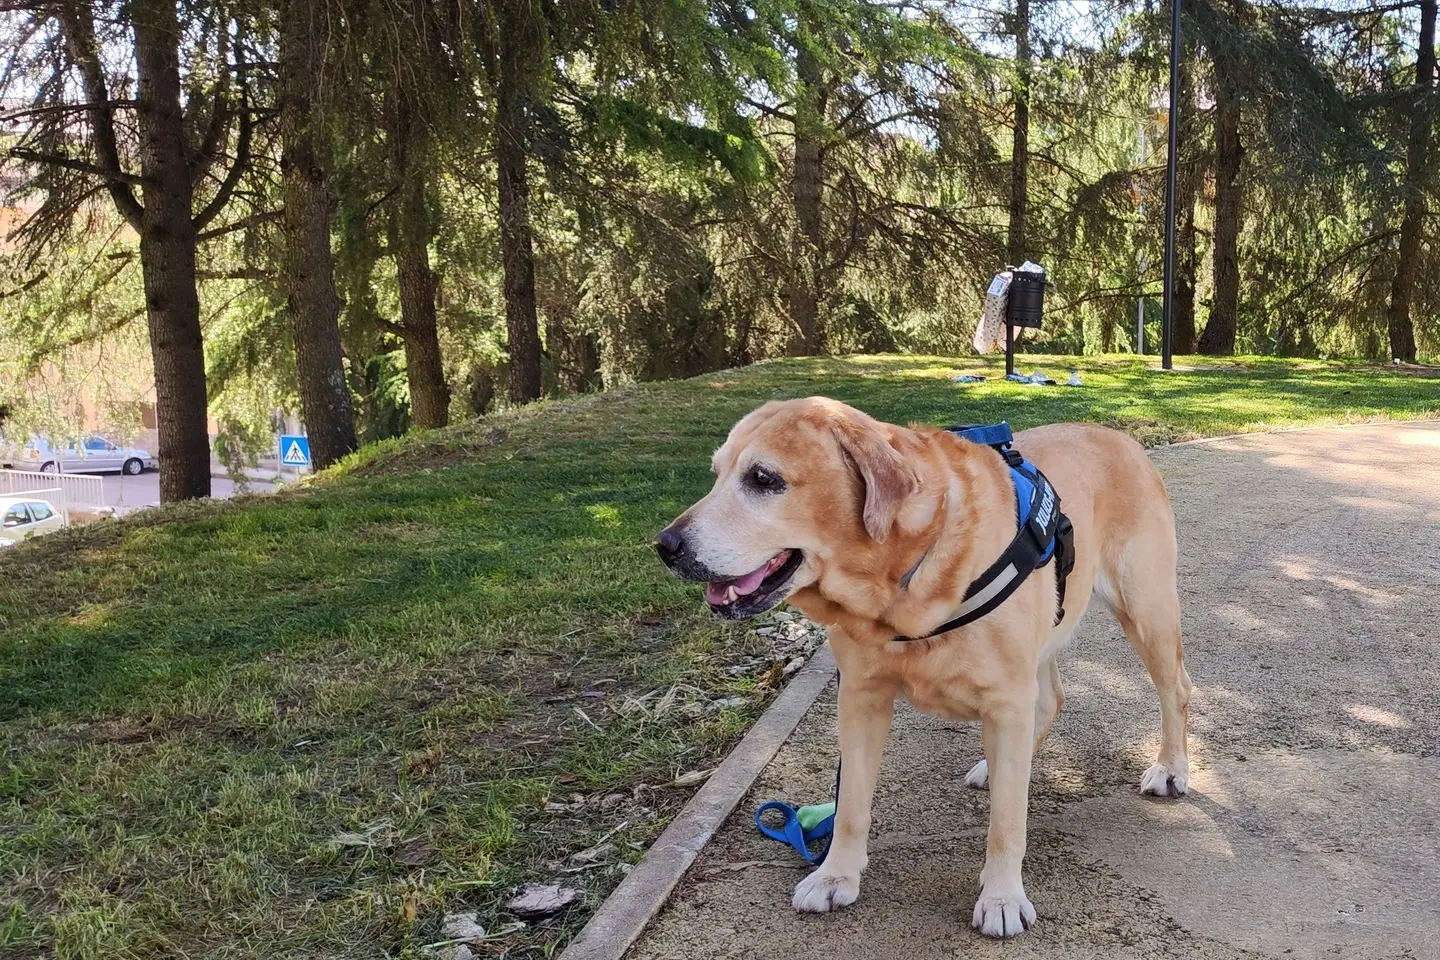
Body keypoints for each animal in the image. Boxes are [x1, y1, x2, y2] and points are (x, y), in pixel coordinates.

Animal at [655, 397, 1191, 938]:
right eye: (717, 475)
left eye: (763, 478)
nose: (665, 546)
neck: (902, 581)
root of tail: (1120, 437)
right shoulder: (860, 697)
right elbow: (850, 804)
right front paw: (835, 875)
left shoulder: (1005, 700)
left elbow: (1007, 822)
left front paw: (1002, 896)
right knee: (1050, 701)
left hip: (1145, 612)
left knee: (1176, 690)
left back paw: (1170, 768)